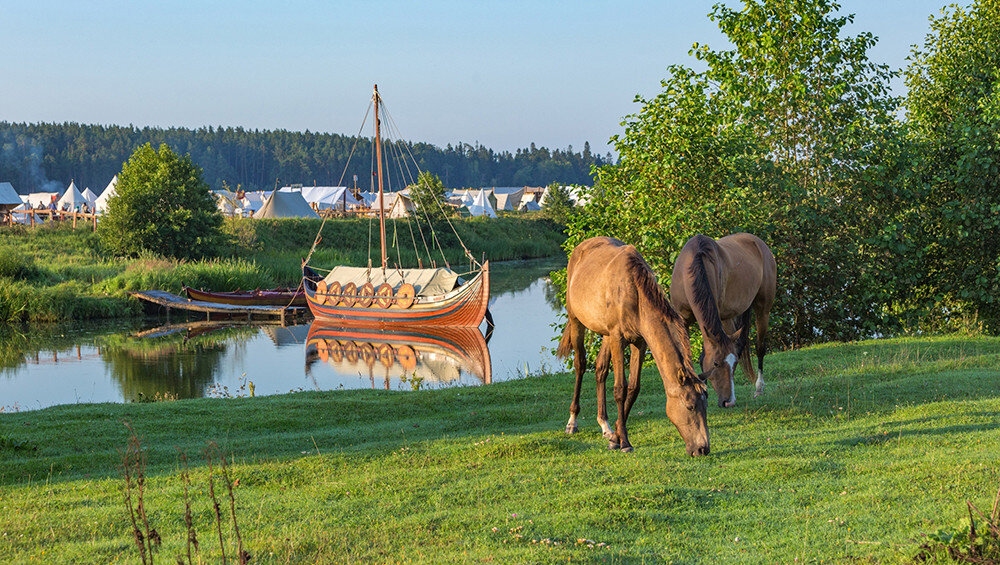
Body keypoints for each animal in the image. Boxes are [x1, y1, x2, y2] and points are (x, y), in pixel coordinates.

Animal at [556, 236, 712, 456]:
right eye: (690, 406)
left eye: (706, 405)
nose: (702, 449)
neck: (634, 292)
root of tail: (581, 248)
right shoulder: (618, 339)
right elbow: (620, 389)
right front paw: (625, 443)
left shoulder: (640, 342)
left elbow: (633, 388)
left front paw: (615, 437)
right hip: (577, 321)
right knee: (580, 365)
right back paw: (572, 422)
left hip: (605, 335)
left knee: (600, 369)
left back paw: (604, 425)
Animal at [672, 231, 772, 408]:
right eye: (716, 363)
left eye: (735, 364)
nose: (728, 402)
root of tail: (758, 243)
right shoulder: (682, 321)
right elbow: (687, 357)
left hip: (762, 309)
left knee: (760, 348)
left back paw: (759, 388)